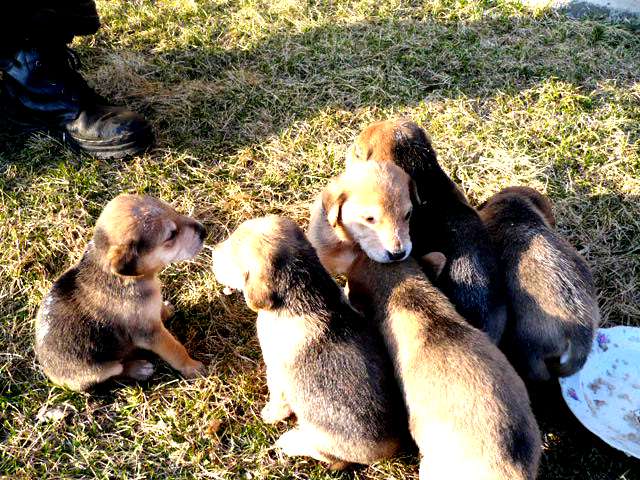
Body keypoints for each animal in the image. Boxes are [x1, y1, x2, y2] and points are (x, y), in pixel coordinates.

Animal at [35, 193, 206, 392]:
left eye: (173, 210)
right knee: (117, 373)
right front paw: (192, 367)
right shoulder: (150, 334)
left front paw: (165, 310)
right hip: (101, 369)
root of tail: (51, 375)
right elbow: (176, 350)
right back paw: (139, 368)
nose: (204, 231)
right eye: (171, 235)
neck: (127, 279)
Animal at [211, 217, 404, 468]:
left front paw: (270, 414)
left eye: (233, 252)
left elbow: (278, 399)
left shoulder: (276, 373)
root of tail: (390, 448)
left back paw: (290, 441)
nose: (212, 251)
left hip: (319, 438)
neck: (306, 292)